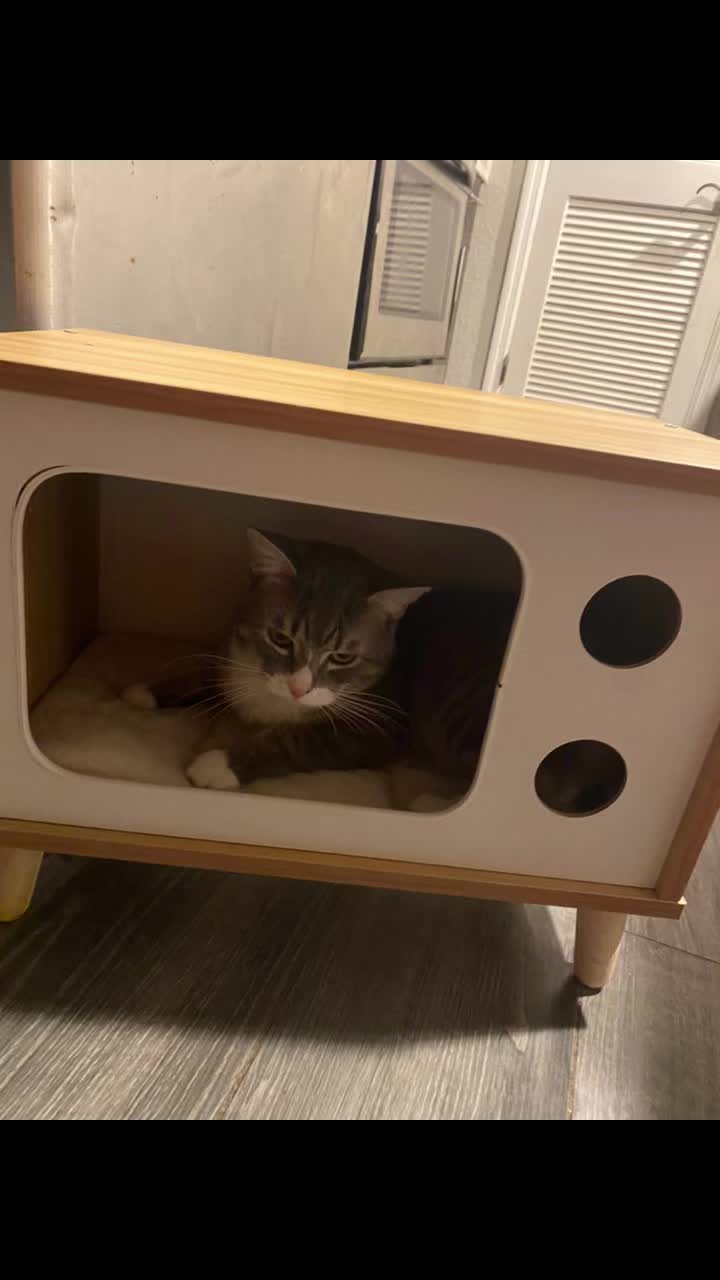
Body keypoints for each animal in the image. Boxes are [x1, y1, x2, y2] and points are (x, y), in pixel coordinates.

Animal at [123, 529, 515, 792]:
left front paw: (218, 764)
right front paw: (148, 692)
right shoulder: (235, 663)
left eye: (343, 656)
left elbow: (299, 740)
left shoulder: (381, 727)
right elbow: (211, 674)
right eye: (280, 638)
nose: (299, 687)